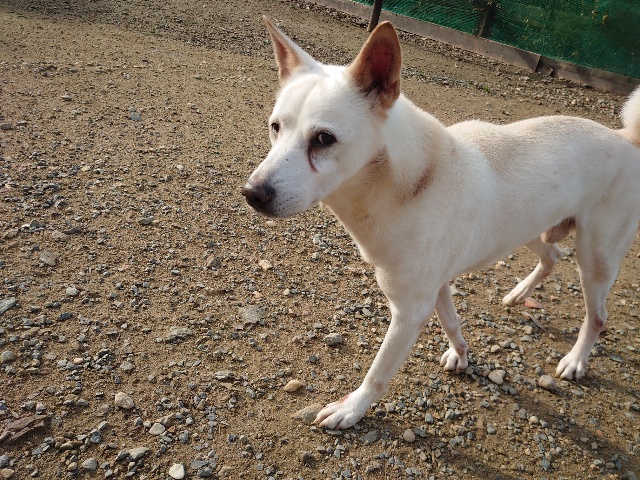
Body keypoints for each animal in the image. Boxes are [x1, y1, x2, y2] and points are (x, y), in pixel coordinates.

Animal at [242, 16, 640, 429]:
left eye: (323, 138)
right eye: (275, 127)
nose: (252, 193)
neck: (406, 182)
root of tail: (626, 138)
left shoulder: (409, 308)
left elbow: (379, 372)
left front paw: (352, 409)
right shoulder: (434, 286)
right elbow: (452, 323)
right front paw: (461, 356)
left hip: (596, 256)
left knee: (597, 317)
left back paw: (576, 360)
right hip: (531, 226)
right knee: (552, 256)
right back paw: (518, 294)